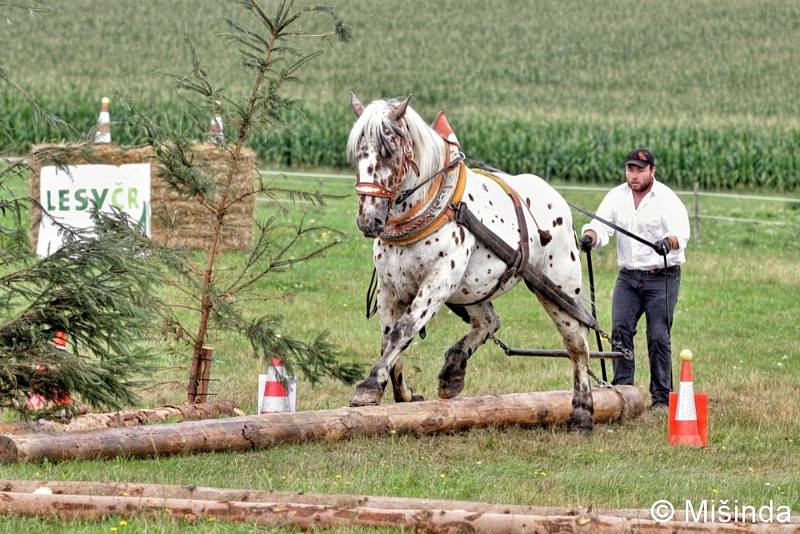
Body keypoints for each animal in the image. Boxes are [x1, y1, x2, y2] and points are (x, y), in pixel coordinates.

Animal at [346, 94, 596, 434]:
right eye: (357, 154)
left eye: (388, 152)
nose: (368, 220)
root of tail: (557, 200)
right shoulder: (389, 287)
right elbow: (388, 337)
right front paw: (403, 393)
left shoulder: (438, 282)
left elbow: (403, 330)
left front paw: (369, 387)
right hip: (473, 289)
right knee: (489, 321)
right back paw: (453, 370)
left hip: (558, 289)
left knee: (577, 345)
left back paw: (583, 413)